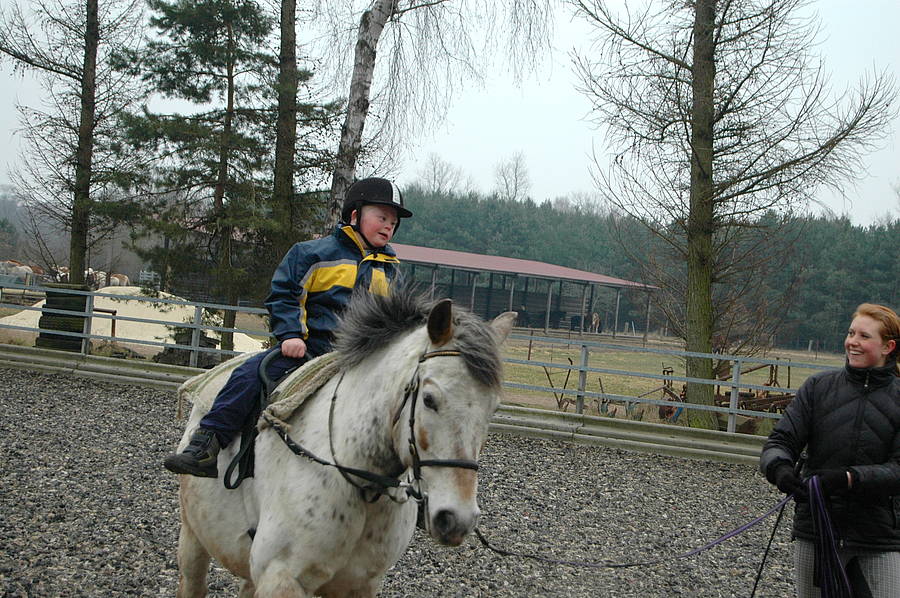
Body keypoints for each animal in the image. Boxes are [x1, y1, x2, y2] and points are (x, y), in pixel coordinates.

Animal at [173, 290, 516, 597]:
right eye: (429, 399)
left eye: (493, 408)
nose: (456, 520)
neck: (359, 480)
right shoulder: (281, 579)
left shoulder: (359, 585)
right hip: (192, 537)